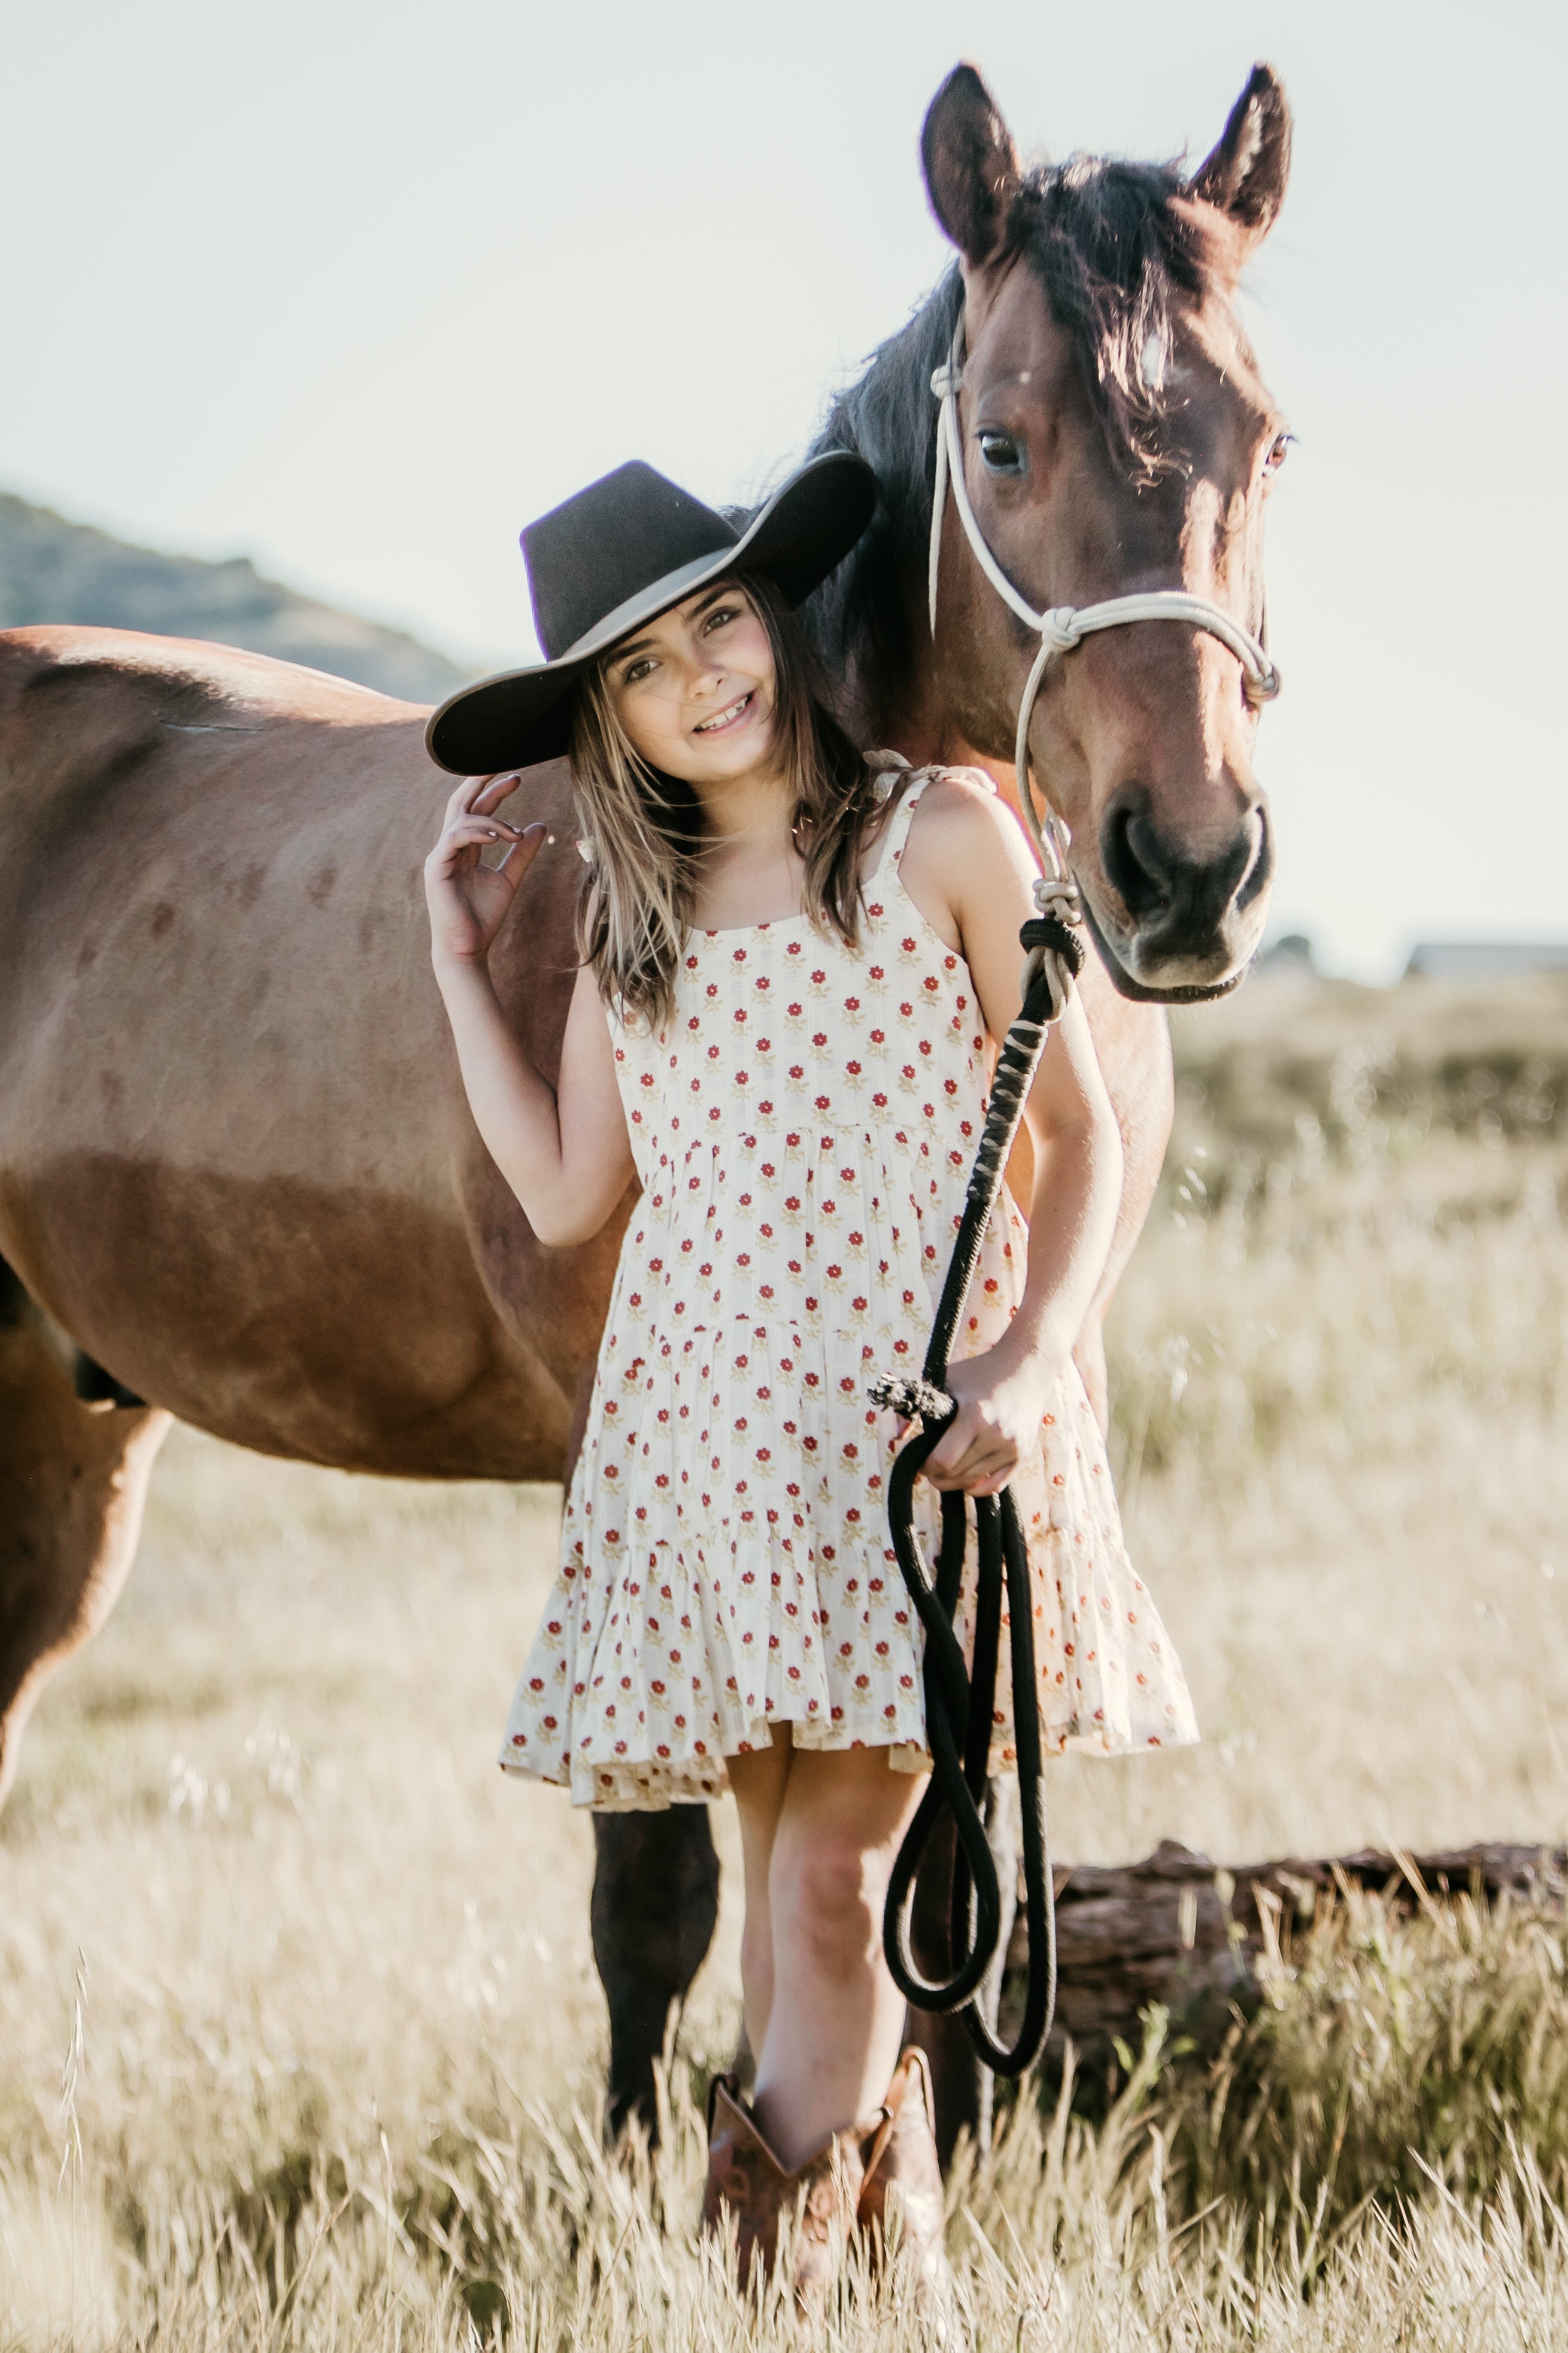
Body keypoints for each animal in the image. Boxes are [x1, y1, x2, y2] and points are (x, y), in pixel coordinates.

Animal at [0, 55, 1288, 2155]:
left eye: (1268, 439)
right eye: (1003, 443)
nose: (1186, 870)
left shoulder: (992, 1415)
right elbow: (660, 1895)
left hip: (58, 1414)